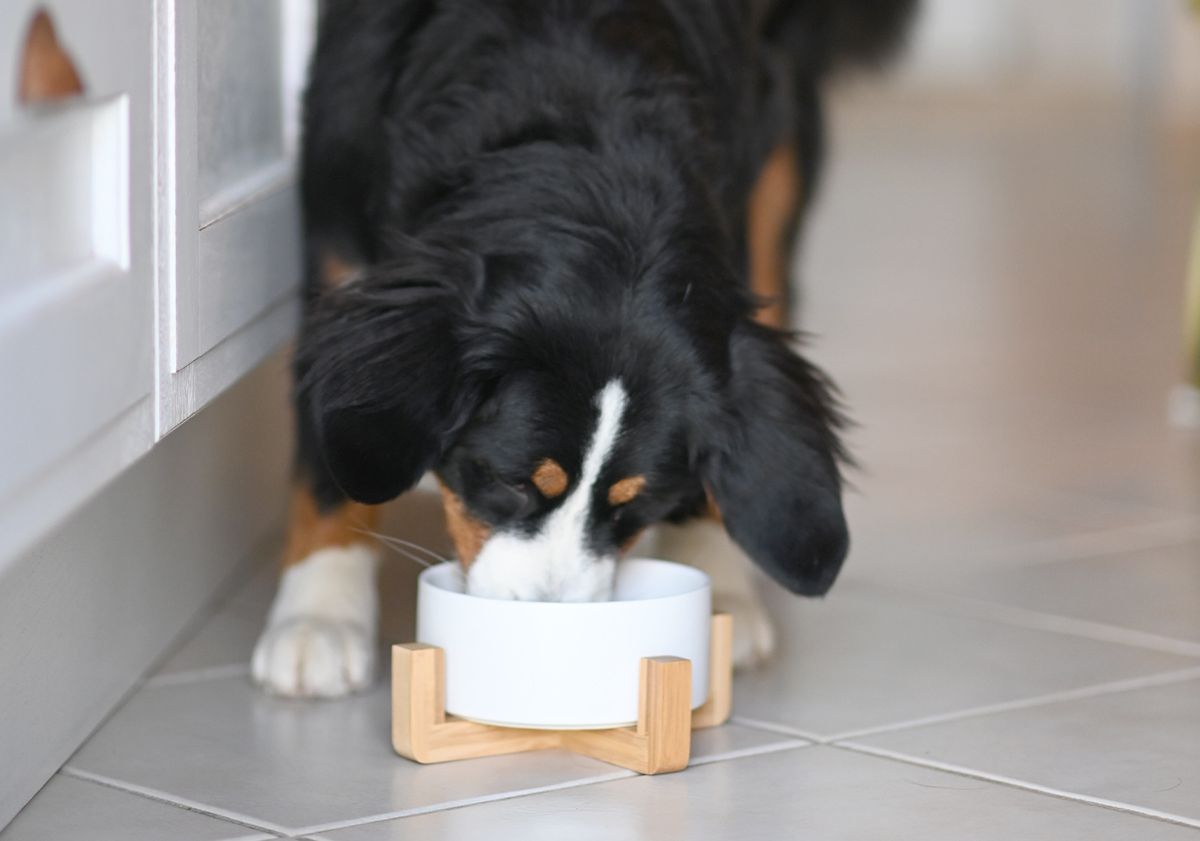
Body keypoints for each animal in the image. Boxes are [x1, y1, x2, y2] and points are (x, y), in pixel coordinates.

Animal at [250, 0, 907, 695]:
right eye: (511, 483)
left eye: (633, 506)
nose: (549, 631)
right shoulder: (339, 248)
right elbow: (332, 460)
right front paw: (319, 612)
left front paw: (714, 577)